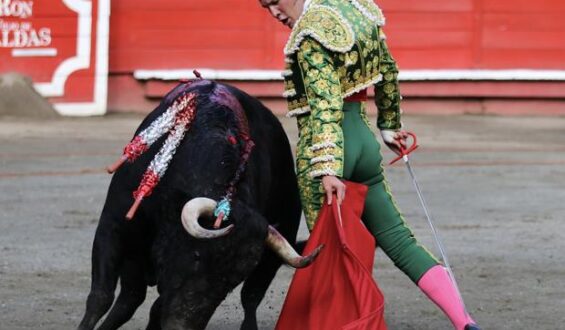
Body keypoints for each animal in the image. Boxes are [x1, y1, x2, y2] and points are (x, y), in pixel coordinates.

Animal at [77, 80, 320, 330]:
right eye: (196, 257)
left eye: (232, 281)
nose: (180, 326)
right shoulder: (113, 225)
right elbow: (100, 297)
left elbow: (156, 307)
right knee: (129, 298)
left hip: (279, 241)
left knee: (250, 299)